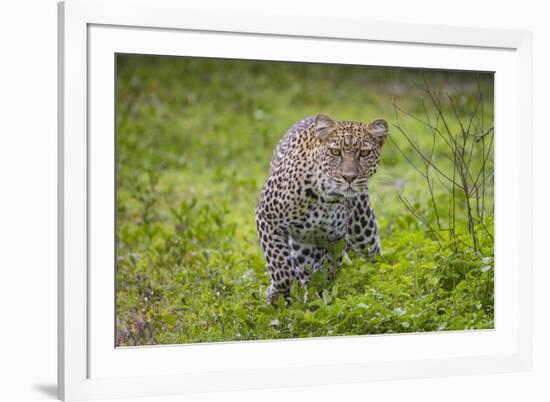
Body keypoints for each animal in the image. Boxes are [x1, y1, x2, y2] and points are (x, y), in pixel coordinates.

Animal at [256, 111, 390, 304]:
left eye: (364, 153)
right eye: (335, 152)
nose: (349, 177)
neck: (325, 198)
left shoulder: (335, 238)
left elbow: (327, 271)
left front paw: (318, 298)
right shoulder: (267, 218)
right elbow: (281, 269)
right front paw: (275, 294)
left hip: (363, 231)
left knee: (373, 255)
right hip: (302, 242)